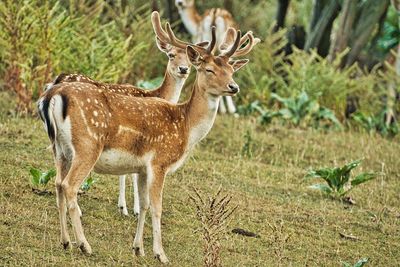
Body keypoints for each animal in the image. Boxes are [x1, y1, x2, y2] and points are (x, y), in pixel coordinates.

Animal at [38, 12, 260, 264]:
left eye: (232, 71)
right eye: (209, 69)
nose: (234, 87)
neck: (185, 126)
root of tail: (53, 95)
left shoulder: (142, 167)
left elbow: (143, 205)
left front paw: (138, 248)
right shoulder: (159, 162)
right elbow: (156, 207)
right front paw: (160, 254)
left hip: (60, 148)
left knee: (57, 183)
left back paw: (65, 241)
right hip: (87, 145)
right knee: (69, 185)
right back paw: (84, 245)